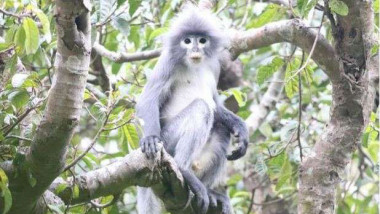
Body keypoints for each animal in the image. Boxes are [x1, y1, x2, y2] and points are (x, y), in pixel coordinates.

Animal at [137, 3, 249, 214]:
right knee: (201, 107)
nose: (196, 47)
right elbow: (148, 98)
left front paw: (241, 127)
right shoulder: (168, 61)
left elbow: (215, 102)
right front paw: (150, 139)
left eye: (202, 40)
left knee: (221, 127)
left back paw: (208, 190)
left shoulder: (214, 66)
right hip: (167, 141)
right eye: (187, 41)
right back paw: (184, 169)